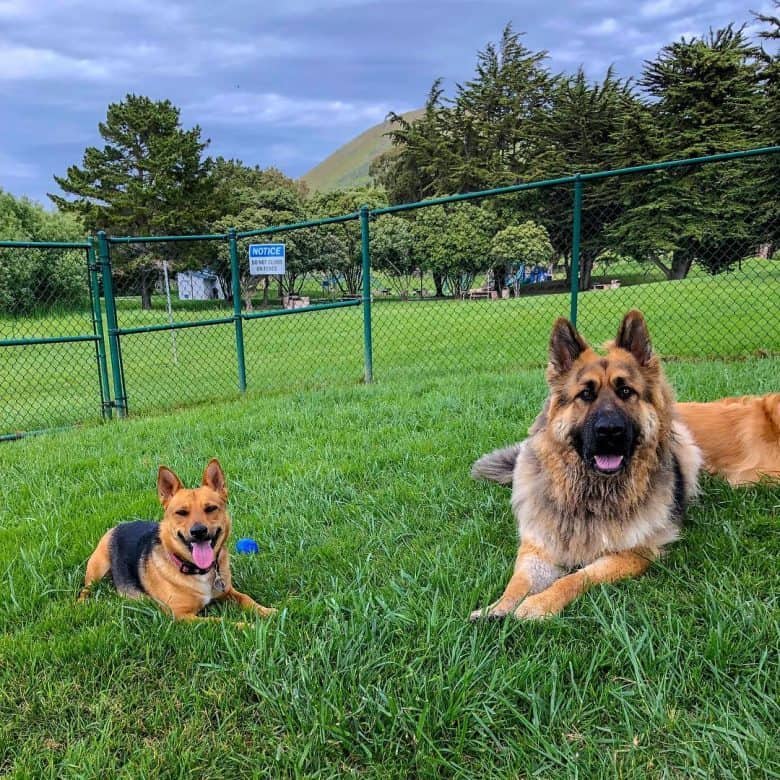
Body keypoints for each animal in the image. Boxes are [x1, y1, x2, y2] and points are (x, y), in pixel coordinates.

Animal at [80, 460, 276, 624]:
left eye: (211, 508)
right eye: (181, 512)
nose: (199, 532)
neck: (197, 570)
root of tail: (119, 525)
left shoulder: (227, 591)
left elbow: (246, 598)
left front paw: (267, 611)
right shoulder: (182, 616)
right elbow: (221, 623)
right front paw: (248, 626)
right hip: (97, 569)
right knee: (86, 588)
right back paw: (81, 603)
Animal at [470, 310, 700, 620]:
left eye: (625, 391)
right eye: (586, 395)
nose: (610, 431)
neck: (589, 493)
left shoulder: (634, 552)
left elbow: (575, 578)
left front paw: (537, 605)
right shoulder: (539, 547)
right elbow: (519, 582)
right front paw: (496, 609)